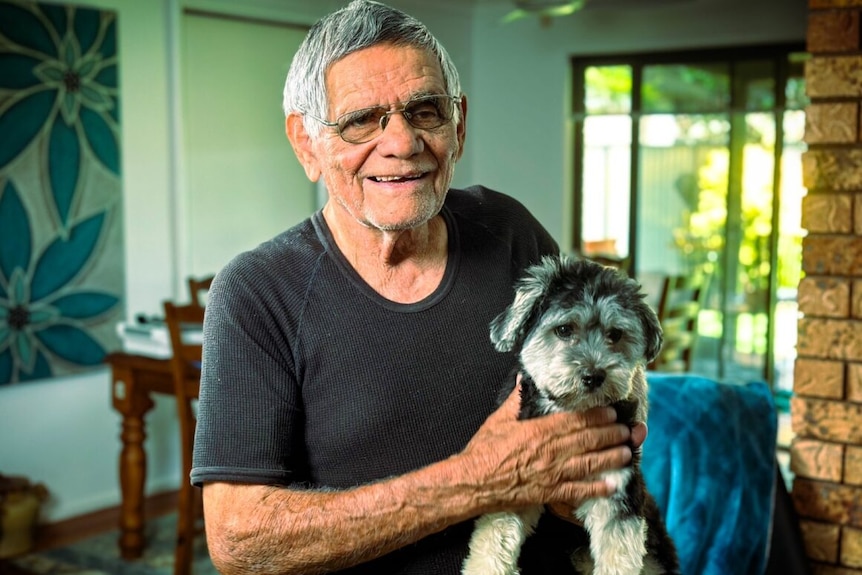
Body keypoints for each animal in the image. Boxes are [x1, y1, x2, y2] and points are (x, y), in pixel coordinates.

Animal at [466, 255, 680, 575]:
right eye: (564, 329)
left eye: (615, 334)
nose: (594, 376)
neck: (572, 412)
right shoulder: (514, 483)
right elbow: (493, 540)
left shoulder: (616, 487)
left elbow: (618, 554)